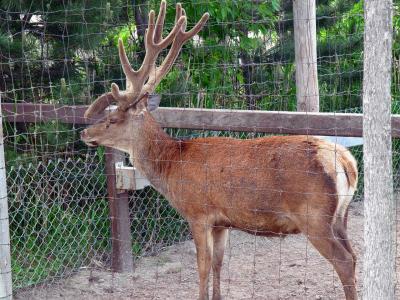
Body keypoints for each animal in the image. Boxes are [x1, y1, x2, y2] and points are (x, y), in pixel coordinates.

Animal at [81, 1, 360, 298]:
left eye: (112, 119)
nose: (84, 132)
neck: (171, 165)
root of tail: (347, 162)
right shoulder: (222, 221)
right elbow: (218, 263)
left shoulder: (198, 213)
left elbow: (202, 266)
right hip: (340, 217)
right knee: (354, 256)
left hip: (314, 215)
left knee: (344, 261)